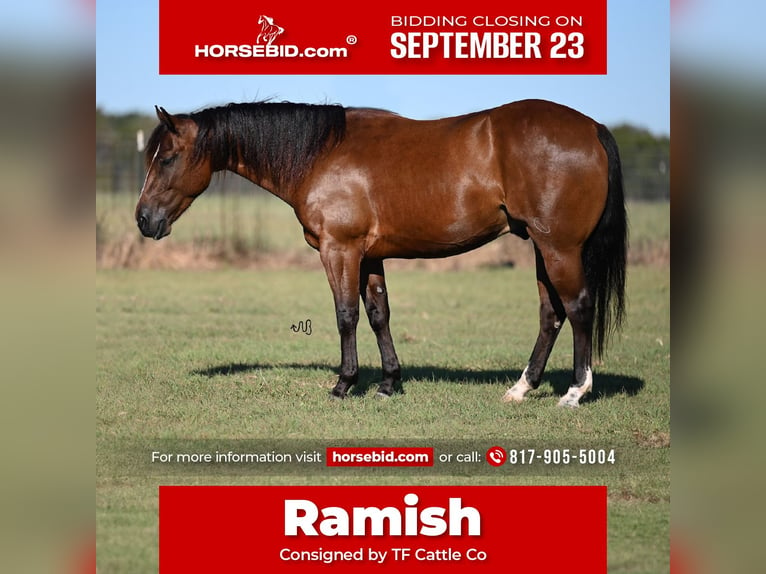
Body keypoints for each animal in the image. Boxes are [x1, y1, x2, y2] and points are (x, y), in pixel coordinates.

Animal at [136, 102, 632, 410]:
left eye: (167, 157)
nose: (143, 219)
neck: (320, 154)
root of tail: (591, 127)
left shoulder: (340, 249)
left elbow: (346, 316)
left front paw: (343, 384)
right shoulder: (369, 256)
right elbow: (378, 315)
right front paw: (389, 383)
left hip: (559, 248)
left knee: (577, 308)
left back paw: (575, 392)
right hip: (541, 248)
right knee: (551, 313)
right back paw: (520, 389)